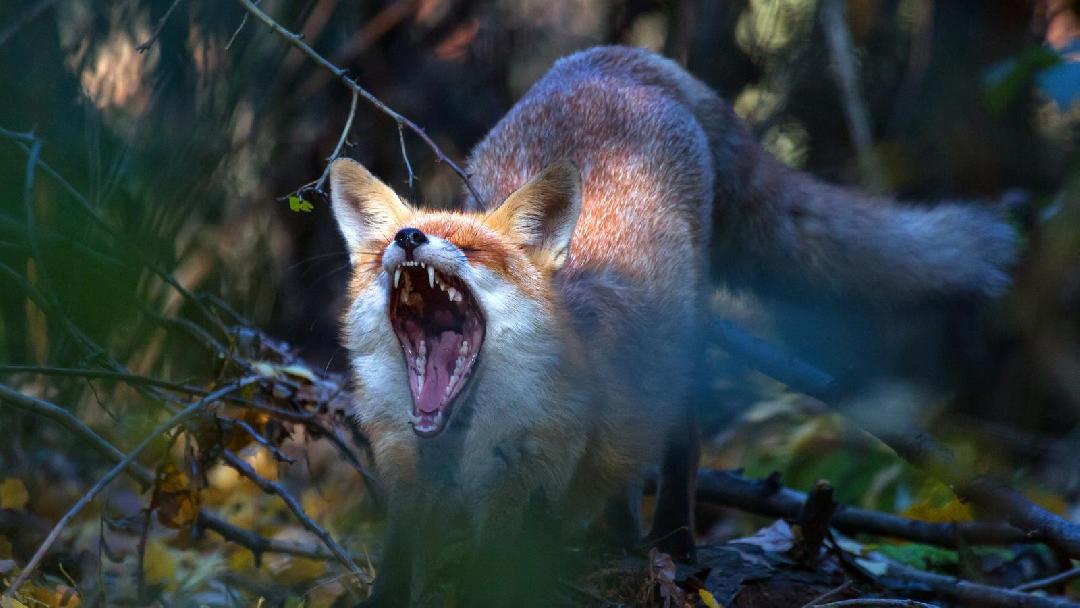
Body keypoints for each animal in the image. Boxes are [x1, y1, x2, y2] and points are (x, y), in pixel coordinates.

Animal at [324, 46, 1015, 604]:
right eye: (387, 242)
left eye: (471, 248)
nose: (409, 240)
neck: (460, 439)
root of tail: (618, 59)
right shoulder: (408, 480)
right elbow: (397, 569)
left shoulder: (521, 492)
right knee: (625, 479)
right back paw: (623, 541)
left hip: (684, 350)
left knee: (681, 446)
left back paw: (674, 544)